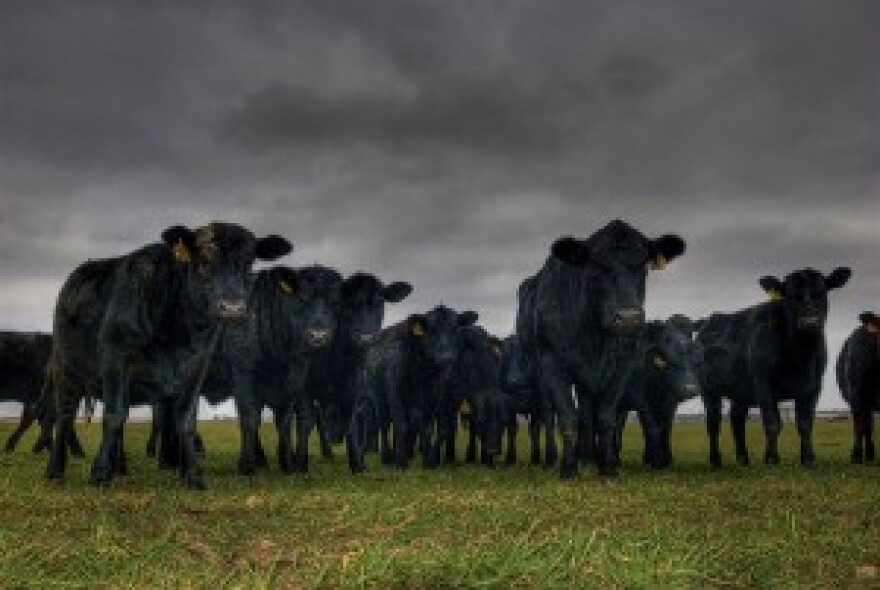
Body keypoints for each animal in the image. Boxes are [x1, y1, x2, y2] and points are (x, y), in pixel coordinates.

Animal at [46, 222, 292, 489]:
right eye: (204, 259)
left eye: (249, 262)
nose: (233, 308)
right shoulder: (115, 356)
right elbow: (113, 416)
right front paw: (99, 474)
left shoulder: (197, 365)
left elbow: (185, 420)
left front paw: (193, 476)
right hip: (65, 371)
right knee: (65, 416)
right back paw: (56, 469)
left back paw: (119, 467)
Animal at [346, 306, 478, 473]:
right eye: (431, 329)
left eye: (455, 328)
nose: (446, 357)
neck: (421, 373)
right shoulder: (394, 394)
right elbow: (401, 426)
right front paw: (401, 463)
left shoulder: (433, 398)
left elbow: (427, 429)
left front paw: (427, 463)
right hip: (379, 399)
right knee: (384, 425)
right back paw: (387, 457)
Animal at [518, 219, 686, 478]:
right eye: (596, 265)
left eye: (643, 266)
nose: (628, 317)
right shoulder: (552, 362)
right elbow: (567, 415)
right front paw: (569, 469)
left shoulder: (623, 365)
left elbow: (605, 417)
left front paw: (607, 467)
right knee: (548, 413)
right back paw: (554, 458)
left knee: (587, 410)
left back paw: (589, 456)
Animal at [697, 267, 851, 468]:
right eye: (790, 296)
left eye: (822, 292)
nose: (810, 323)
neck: (800, 357)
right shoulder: (763, 382)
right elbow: (772, 423)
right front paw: (771, 459)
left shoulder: (814, 385)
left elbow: (805, 423)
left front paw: (807, 459)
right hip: (708, 389)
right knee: (713, 422)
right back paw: (716, 460)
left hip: (740, 391)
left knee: (736, 419)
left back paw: (743, 459)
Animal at [836, 312, 880, 463]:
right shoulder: (859, 396)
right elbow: (863, 427)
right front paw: (861, 456)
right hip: (855, 401)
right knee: (860, 426)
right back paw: (860, 454)